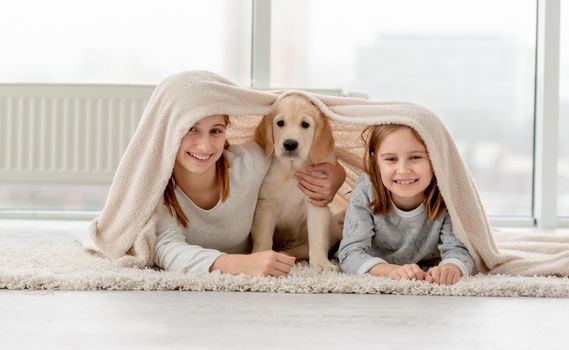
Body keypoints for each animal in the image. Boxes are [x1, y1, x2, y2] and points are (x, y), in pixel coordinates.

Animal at [251, 94, 340, 272]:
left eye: (305, 124)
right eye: (280, 123)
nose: (290, 144)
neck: (291, 171)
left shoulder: (316, 204)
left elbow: (317, 237)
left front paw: (321, 262)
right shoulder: (266, 205)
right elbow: (264, 234)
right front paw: (261, 255)